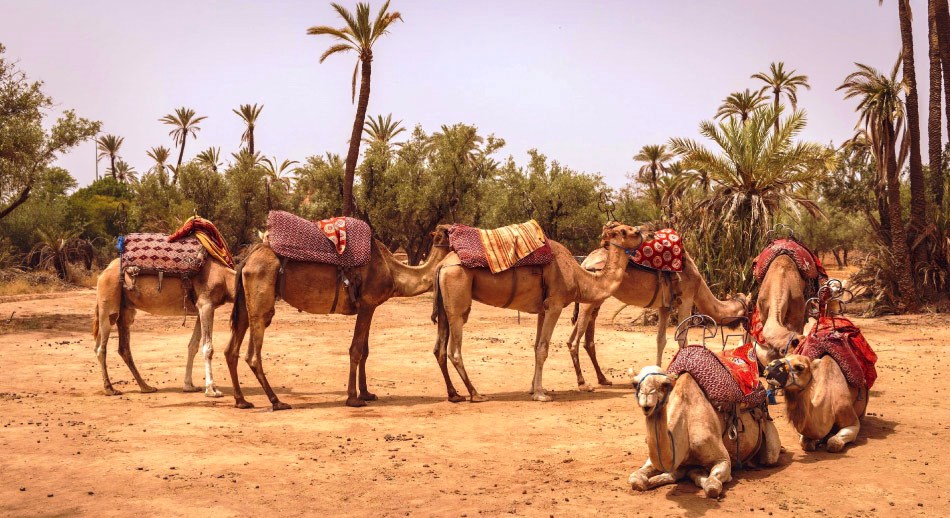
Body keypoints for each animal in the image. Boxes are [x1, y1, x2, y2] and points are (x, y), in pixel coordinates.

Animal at [92, 256, 235, 398]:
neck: (225, 278)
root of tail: (104, 272)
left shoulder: (201, 309)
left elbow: (193, 346)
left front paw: (189, 386)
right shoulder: (206, 304)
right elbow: (208, 348)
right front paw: (212, 390)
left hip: (125, 310)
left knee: (122, 348)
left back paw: (146, 387)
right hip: (108, 302)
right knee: (101, 348)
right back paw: (110, 389)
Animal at [229, 225, 456, 412]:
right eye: (451, 232)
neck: (393, 271)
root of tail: (247, 259)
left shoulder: (368, 307)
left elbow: (365, 351)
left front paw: (367, 393)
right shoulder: (368, 303)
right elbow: (356, 350)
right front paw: (354, 398)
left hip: (245, 303)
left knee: (231, 350)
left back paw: (242, 401)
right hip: (261, 300)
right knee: (252, 353)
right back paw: (276, 401)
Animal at [434, 221, 652, 404]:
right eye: (629, 231)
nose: (647, 232)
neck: (578, 277)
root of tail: (442, 266)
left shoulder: (542, 309)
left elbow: (536, 346)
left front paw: (534, 388)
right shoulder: (555, 305)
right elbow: (543, 349)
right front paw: (540, 394)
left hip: (445, 307)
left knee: (439, 349)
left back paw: (454, 395)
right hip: (457, 298)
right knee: (454, 349)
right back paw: (475, 394)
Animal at [564, 250, 752, 384]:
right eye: (749, 309)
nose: (750, 328)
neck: (699, 285)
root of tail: (585, 262)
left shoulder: (664, 307)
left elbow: (661, 339)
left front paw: (658, 372)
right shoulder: (686, 299)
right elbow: (682, 338)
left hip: (596, 299)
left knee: (583, 335)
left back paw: (602, 379)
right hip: (590, 298)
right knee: (575, 338)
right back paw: (582, 382)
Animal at [628, 366, 784, 500]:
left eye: (665, 384)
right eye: (635, 384)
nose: (647, 402)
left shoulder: (722, 459)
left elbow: (712, 486)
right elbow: (635, 478)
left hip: (769, 441)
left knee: (770, 456)